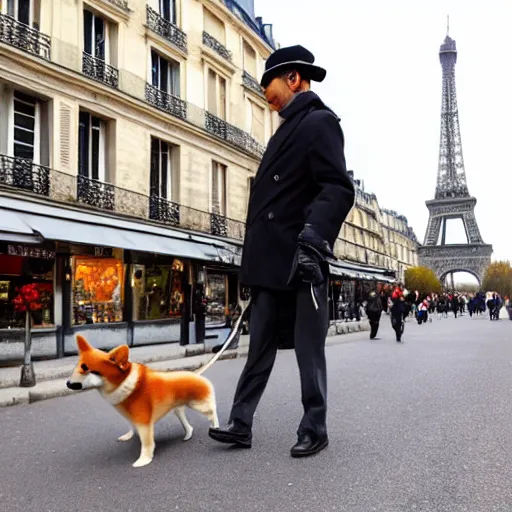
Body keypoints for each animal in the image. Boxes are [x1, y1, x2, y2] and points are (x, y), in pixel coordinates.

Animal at [67, 336, 219, 468]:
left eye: (87, 369)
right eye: (78, 366)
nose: (68, 383)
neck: (126, 384)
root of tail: (195, 374)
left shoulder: (144, 421)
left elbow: (146, 443)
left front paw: (144, 460)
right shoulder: (131, 417)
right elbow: (131, 427)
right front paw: (128, 436)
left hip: (199, 405)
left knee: (212, 412)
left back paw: (216, 427)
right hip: (177, 409)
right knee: (188, 424)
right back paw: (188, 434)